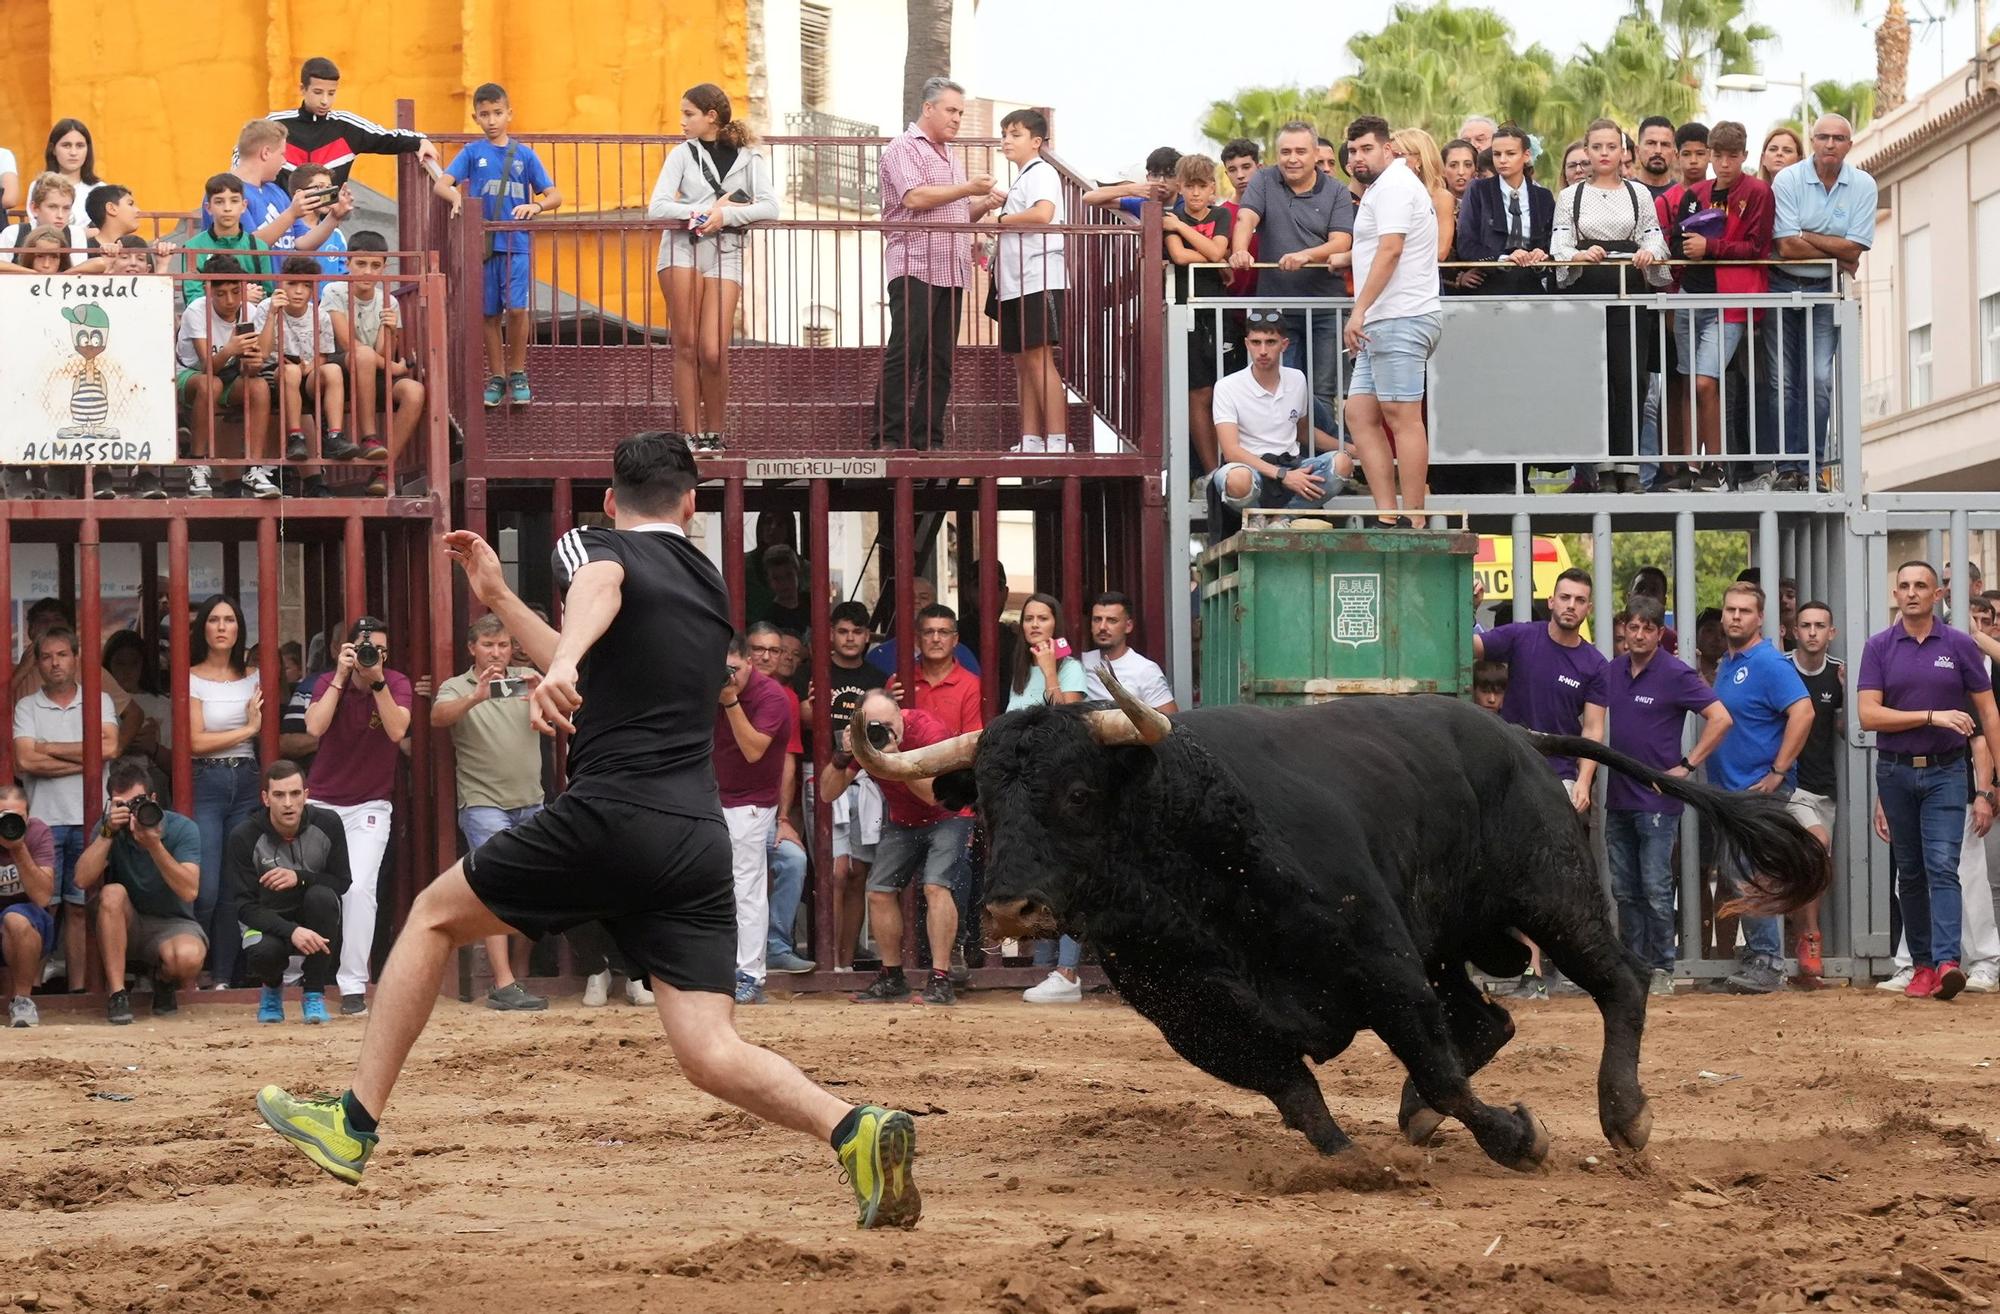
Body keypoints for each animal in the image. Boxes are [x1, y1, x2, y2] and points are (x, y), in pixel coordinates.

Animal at [848, 688, 1832, 1168]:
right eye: (984, 809)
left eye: (1080, 794)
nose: (1010, 907)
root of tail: (1517, 734)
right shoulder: (1195, 1014)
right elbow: (1292, 1087)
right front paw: (1347, 1157)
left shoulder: (1378, 961)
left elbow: (1434, 1062)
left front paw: (1518, 1139)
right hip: (1454, 941)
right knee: (1488, 1019)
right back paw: (1415, 1121)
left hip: (1547, 890)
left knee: (1618, 980)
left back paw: (1624, 1117)